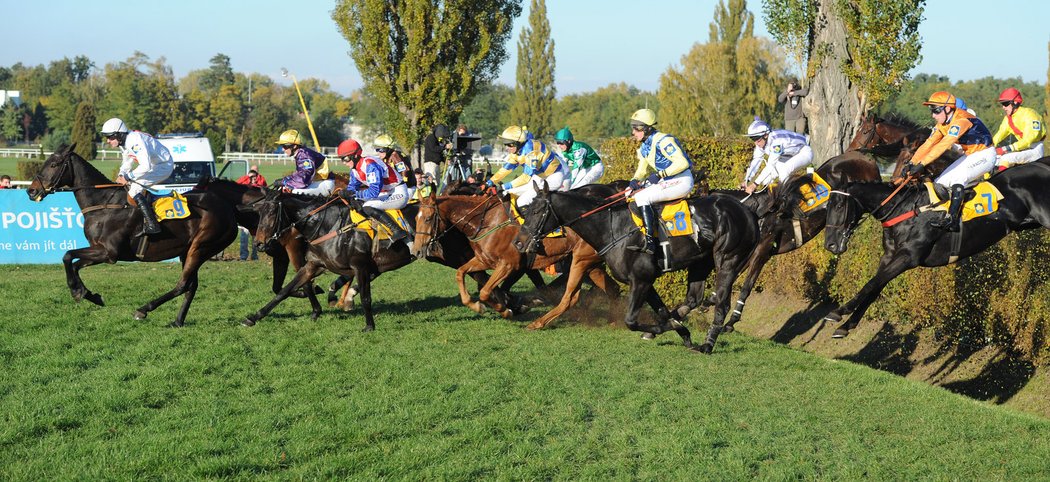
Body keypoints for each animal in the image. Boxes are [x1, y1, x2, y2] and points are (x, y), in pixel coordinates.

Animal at [25, 144, 240, 327]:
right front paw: (87, 293)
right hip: (187, 252)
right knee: (191, 286)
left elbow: (68, 255)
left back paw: (144, 310)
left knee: (183, 284)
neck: (104, 203)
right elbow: (74, 262)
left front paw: (78, 291)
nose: (31, 190)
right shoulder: (98, 249)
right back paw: (178, 321)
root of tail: (227, 207)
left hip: (200, 248)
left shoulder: (109, 253)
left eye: (53, 164)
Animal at [411, 190, 621, 329]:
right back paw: (612, 320)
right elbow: (460, 273)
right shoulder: (484, 260)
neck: (486, 222)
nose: (417, 250)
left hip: (581, 260)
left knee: (574, 295)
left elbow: (486, 291)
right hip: (592, 265)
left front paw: (505, 310)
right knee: (611, 288)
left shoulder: (509, 264)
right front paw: (477, 306)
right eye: (415, 218)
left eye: (428, 218)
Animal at [514, 185, 755, 354]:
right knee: (694, 298)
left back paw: (708, 344)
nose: (518, 242)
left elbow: (630, 321)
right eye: (526, 209)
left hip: (728, 261)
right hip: (700, 263)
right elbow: (662, 312)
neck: (612, 228)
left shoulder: (640, 280)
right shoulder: (646, 282)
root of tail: (747, 211)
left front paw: (666, 329)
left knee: (722, 304)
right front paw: (681, 331)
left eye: (537, 211)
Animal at [814, 160, 1050, 338]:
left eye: (839, 206)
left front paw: (839, 312)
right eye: (827, 206)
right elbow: (875, 287)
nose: (830, 244)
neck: (904, 209)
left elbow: (871, 283)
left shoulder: (909, 257)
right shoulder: (889, 257)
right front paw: (846, 326)